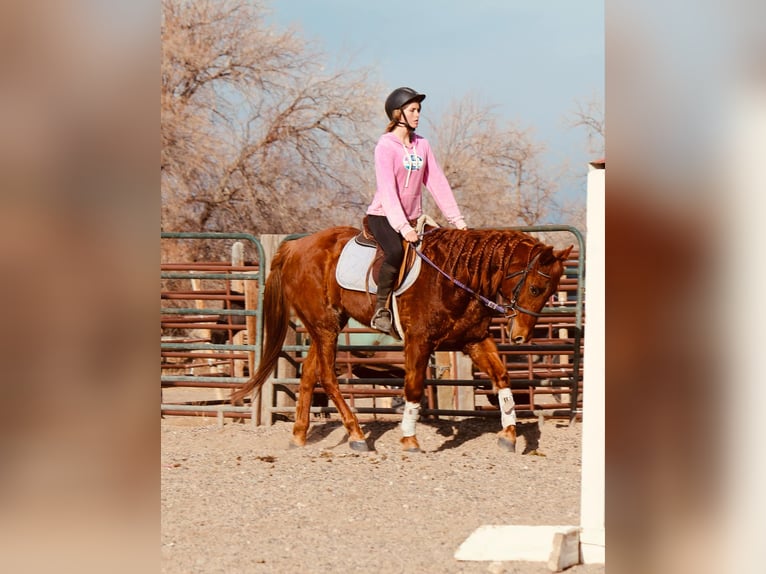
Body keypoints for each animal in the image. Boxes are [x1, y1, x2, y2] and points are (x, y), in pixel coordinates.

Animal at [231, 226, 573, 453]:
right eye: (536, 288)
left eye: (550, 292)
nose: (520, 336)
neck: (454, 278)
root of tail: (295, 248)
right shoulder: (418, 341)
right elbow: (414, 388)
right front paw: (409, 438)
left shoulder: (473, 339)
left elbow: (502, 377)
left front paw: (509, 434)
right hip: (325, 326)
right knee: (327, 375)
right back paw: (356, 435)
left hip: (324, 325)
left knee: (309, 374)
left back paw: (300, 434)